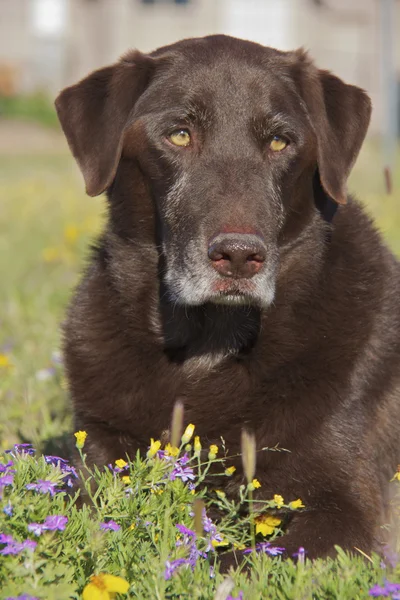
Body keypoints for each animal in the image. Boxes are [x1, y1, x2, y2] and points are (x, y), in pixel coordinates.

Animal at [55, 34, 400, 556]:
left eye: (280, 141)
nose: (239, 257)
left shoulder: (349, 515)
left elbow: (247, 559)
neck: (209, 343)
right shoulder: (97, 456)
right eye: (179, 135)